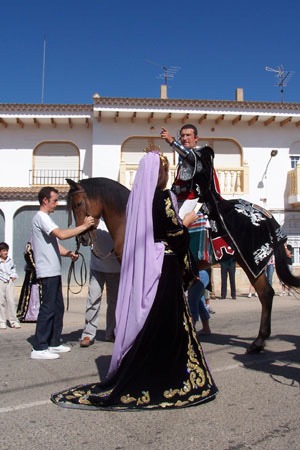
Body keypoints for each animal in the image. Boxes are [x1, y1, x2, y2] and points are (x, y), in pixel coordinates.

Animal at [67, 178, 298, 354]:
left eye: (77, 204)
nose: (83, 238)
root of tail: (265, 213)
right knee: (266, 294)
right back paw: (259, 342)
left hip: (250, 261)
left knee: (265, 294)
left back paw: (258, 342)